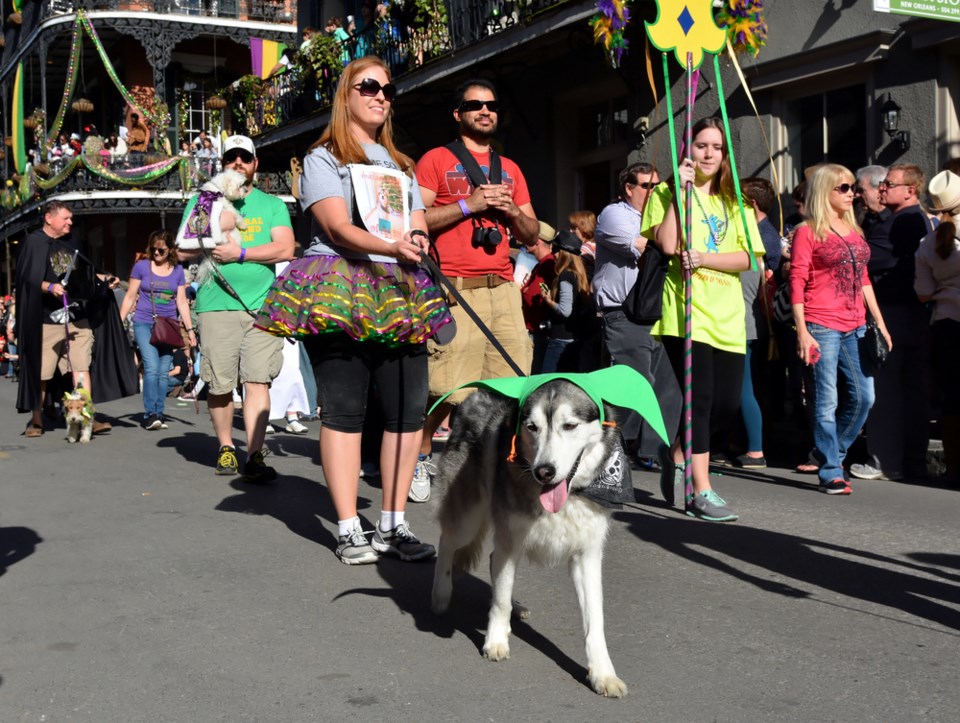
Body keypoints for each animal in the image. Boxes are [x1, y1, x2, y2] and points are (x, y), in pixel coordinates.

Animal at [434, 382, 632, 700]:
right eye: (532, 427)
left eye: (569, 425)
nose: (544, 471)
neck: (568, 497)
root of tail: (476, 393)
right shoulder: (509, 538)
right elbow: (499, 600)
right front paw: (496, 640)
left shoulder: (587, 555)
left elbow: (595, 621)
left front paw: (603, 674)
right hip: (469, 519)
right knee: (447, 542)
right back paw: (440, 595)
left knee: (491, 561)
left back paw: (516, 607)